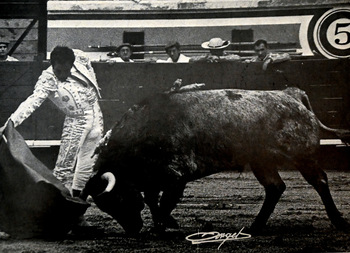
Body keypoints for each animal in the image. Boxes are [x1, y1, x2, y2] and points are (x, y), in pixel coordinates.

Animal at [82, 87, 350, 235]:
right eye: (105, 207)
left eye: (117, 199)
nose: (133, 229)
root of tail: (290, 95)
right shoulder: (155, 179)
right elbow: (152, 200)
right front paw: (163, 223)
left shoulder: (176, 175)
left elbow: (164, 202)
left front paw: (162, 225)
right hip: (261, 161)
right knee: (275, 187)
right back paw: (255, 226)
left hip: (302, 156)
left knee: (320, 181)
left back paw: (339, 221)